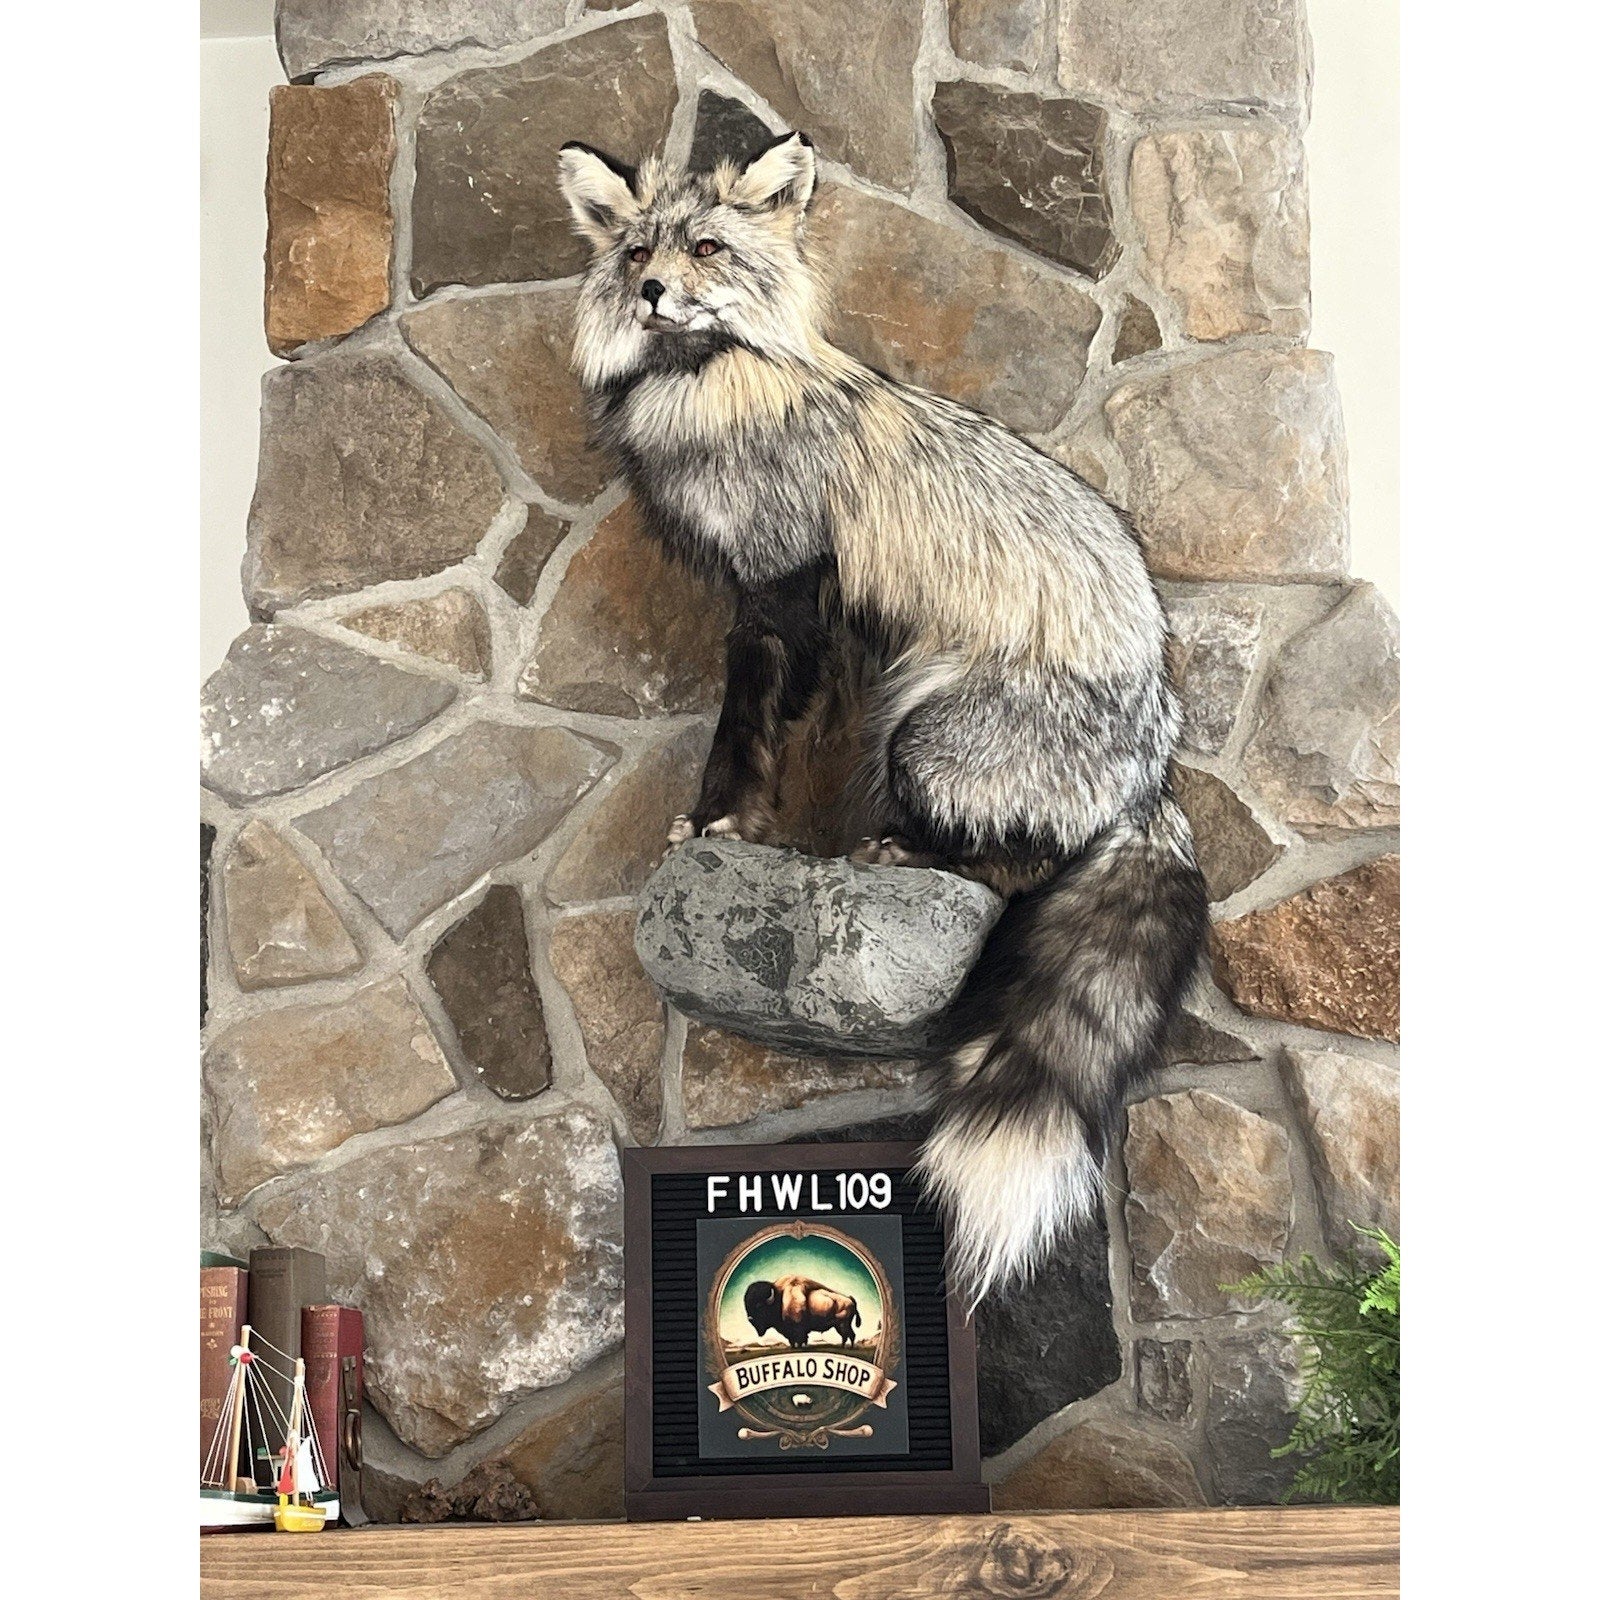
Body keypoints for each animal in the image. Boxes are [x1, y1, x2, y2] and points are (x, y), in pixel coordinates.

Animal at [557, 131, 1210, 1303]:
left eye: (705, 247)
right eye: (635, 250)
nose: (653, 292)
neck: (715, 398)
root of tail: (1155, 761)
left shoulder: (783, 591)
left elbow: (749, 729)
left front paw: (725, 822)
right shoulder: (775, 601)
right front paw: (735, 822)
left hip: (921, 733)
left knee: (1018, 868)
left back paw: (907, 851)